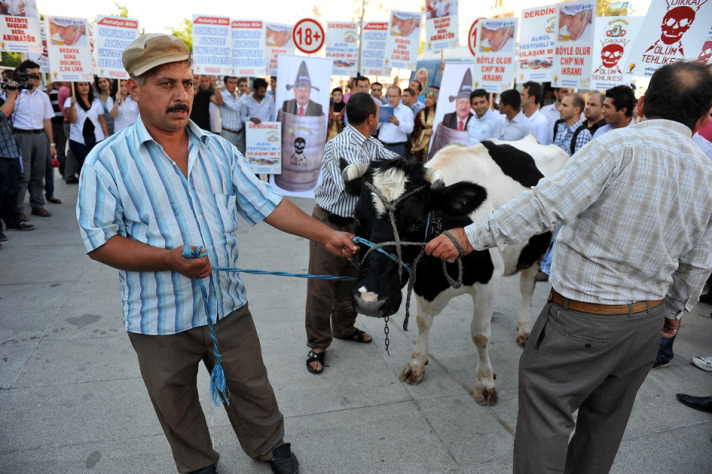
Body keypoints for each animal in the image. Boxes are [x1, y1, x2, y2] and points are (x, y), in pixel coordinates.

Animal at [342, 136, 572, 404]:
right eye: (358, 218)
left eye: (416, 223)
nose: (369, 301)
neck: (434, 279)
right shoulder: (423, 283)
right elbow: (422, 322)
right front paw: (417, 364)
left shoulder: (489, 281)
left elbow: (480, 335)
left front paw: (485, 382)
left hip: (541, 247)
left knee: (527, 287)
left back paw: (524, 329)